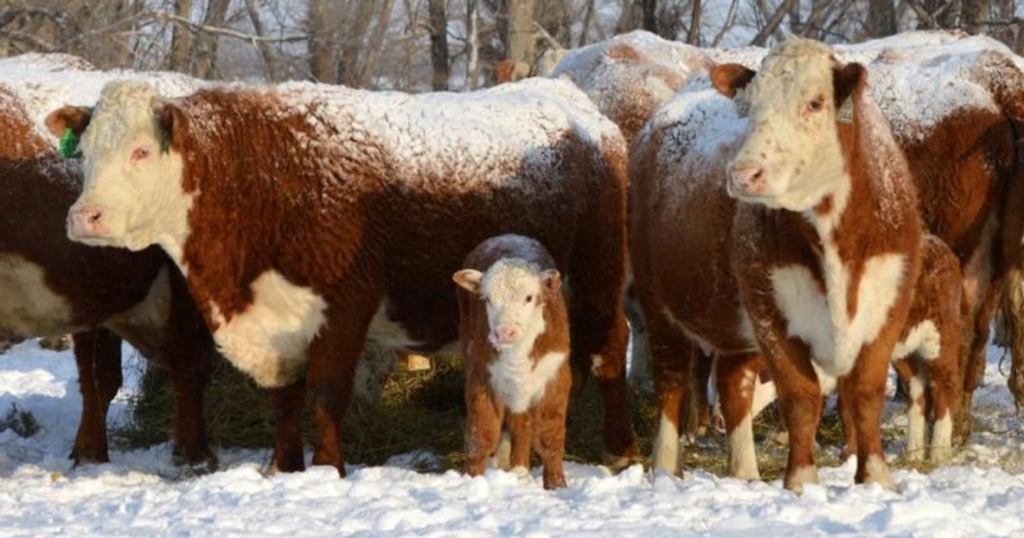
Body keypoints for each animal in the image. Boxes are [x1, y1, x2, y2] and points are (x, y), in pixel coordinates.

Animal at [452, 232, 573, 487]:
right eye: (487, 299)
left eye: (529, 297)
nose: (504, 332)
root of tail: (508, 236)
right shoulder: (481, 377)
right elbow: (481, 434)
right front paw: (471, 481)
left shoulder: (555, 375)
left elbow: (549, 435)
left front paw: (557, 486)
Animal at [626, 36, 925, 489]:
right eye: (750, 105)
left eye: (815, 103)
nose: (743, 173)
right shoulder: (770, 309)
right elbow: (800, 396)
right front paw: (801, 482)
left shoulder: (889, 302)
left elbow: (866, 392)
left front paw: (875, 478)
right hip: (659, 304)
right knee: (672, 382)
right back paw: (665, 467)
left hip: (731, 318)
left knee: (733, 387)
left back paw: (745, 472)